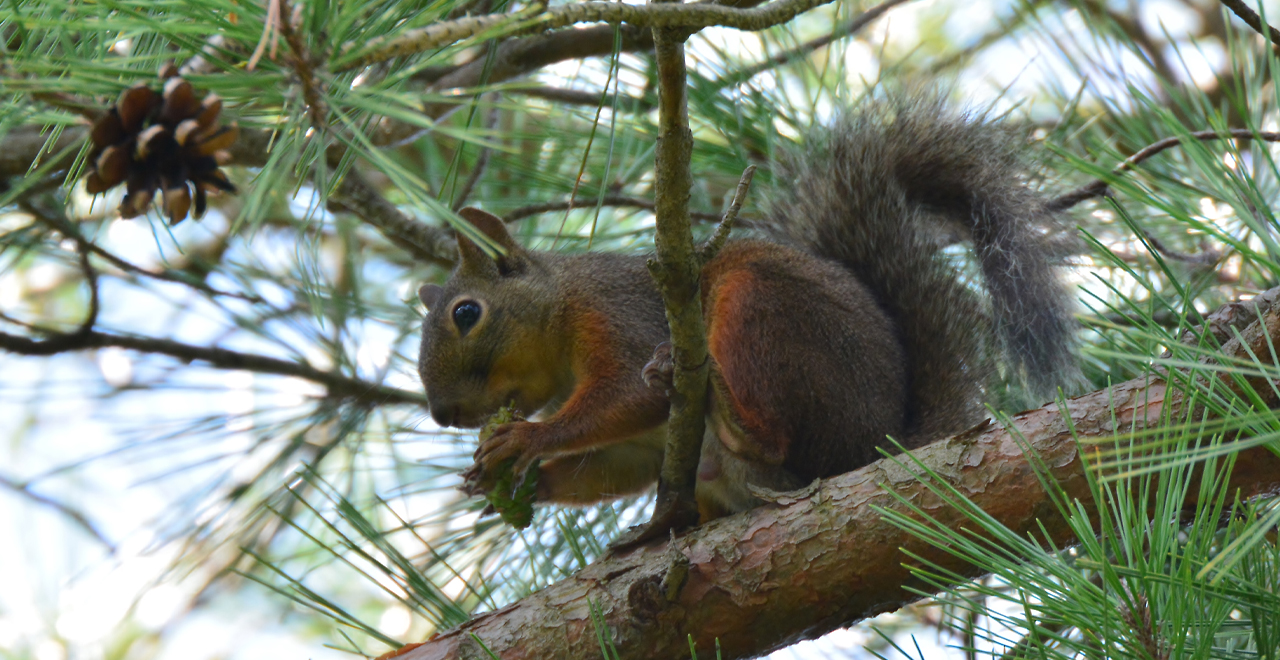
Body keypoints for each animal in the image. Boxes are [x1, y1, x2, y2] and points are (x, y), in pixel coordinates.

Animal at [417, 95, 1080, 524]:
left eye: (466, 314)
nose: (444, 415)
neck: (559, 312)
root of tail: (876, 444)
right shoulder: (638, 446)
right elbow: (619, 462)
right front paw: (505, 481)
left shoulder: (620, 316)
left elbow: (629, 394)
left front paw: (526, 439)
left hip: (763, 308)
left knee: (773, 440)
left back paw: (735, 421)